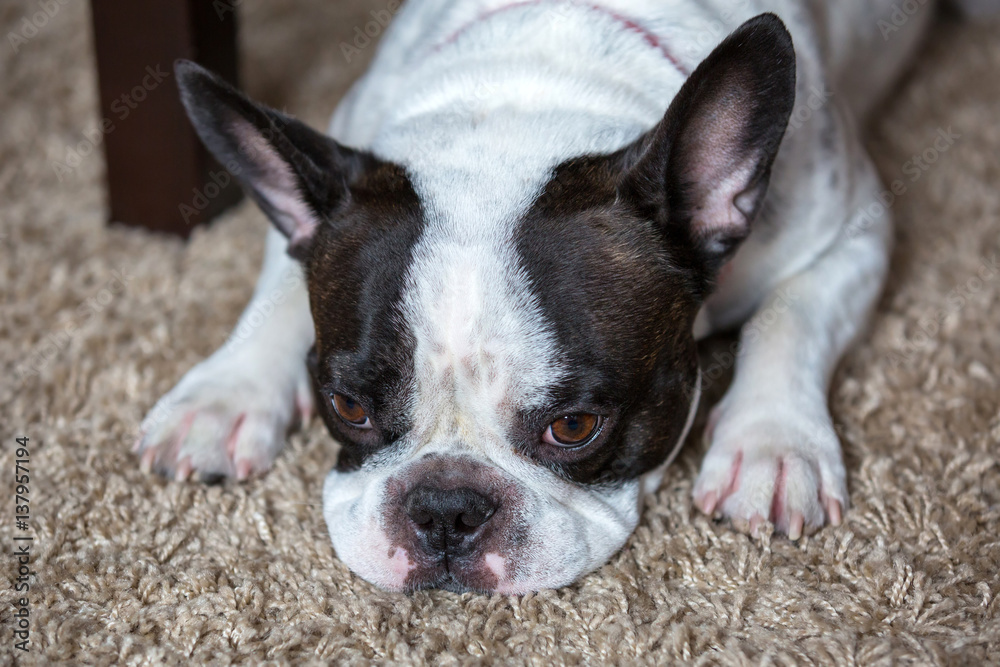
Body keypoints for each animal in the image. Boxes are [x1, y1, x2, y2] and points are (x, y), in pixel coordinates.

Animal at [131, 1, 928, 596]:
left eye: (575, 427)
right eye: (348, 407)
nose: (445, 508)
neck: (530, 89)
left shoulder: (855, 230)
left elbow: (790, 318)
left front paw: (773, 444)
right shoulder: (308, 206)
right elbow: (276, 290)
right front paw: (224, 396)